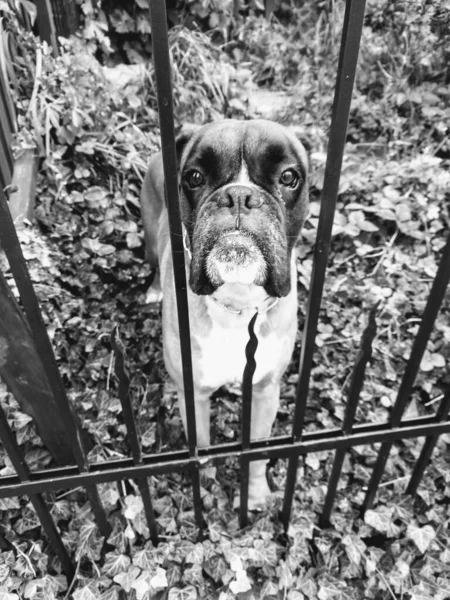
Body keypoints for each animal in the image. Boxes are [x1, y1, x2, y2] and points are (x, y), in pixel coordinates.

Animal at [141, 119, 310, 508]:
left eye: (289, 176)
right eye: (194, 177)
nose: (238, 196)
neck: (237, 305)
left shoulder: (265, 392)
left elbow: (257, 450)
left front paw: (256, 493)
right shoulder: (194, 394)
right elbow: (202, 446)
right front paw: (204, 484)